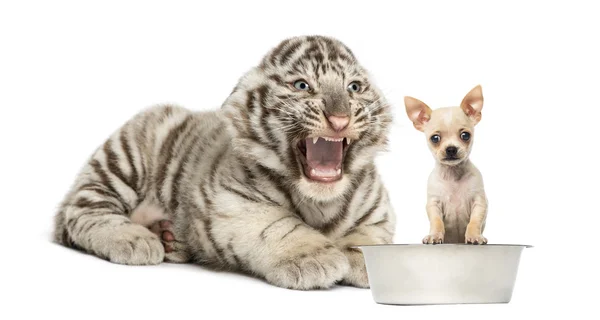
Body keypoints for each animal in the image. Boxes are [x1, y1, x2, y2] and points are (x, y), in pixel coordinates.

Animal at [406, 85, 490, 245]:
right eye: (435, 138)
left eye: (465, 135)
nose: (451, 149)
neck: (453, 174)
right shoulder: (434, 204)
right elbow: (437, 222)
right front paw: (434, 235)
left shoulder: (479, 202)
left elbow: (474, 222)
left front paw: (474, 236)